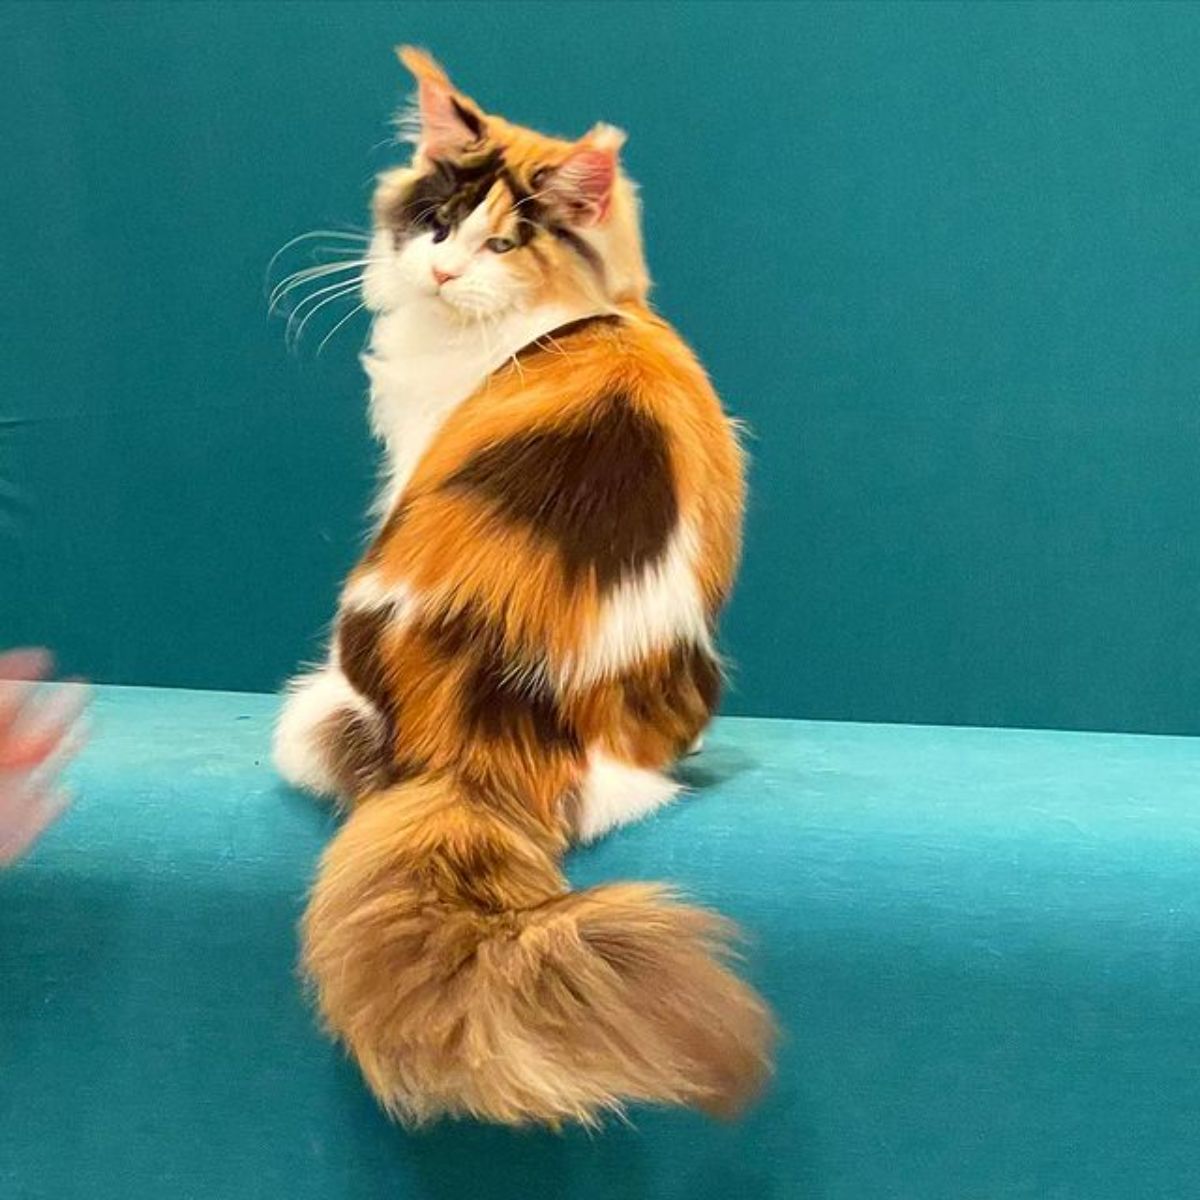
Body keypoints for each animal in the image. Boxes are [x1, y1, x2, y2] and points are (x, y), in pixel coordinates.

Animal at [274, 46, 772, 1128]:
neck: (589, 318)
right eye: (437, 221)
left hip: (322, 692)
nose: (444, 269)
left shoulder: (413, 452)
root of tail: (484, 739)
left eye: (504, 241)